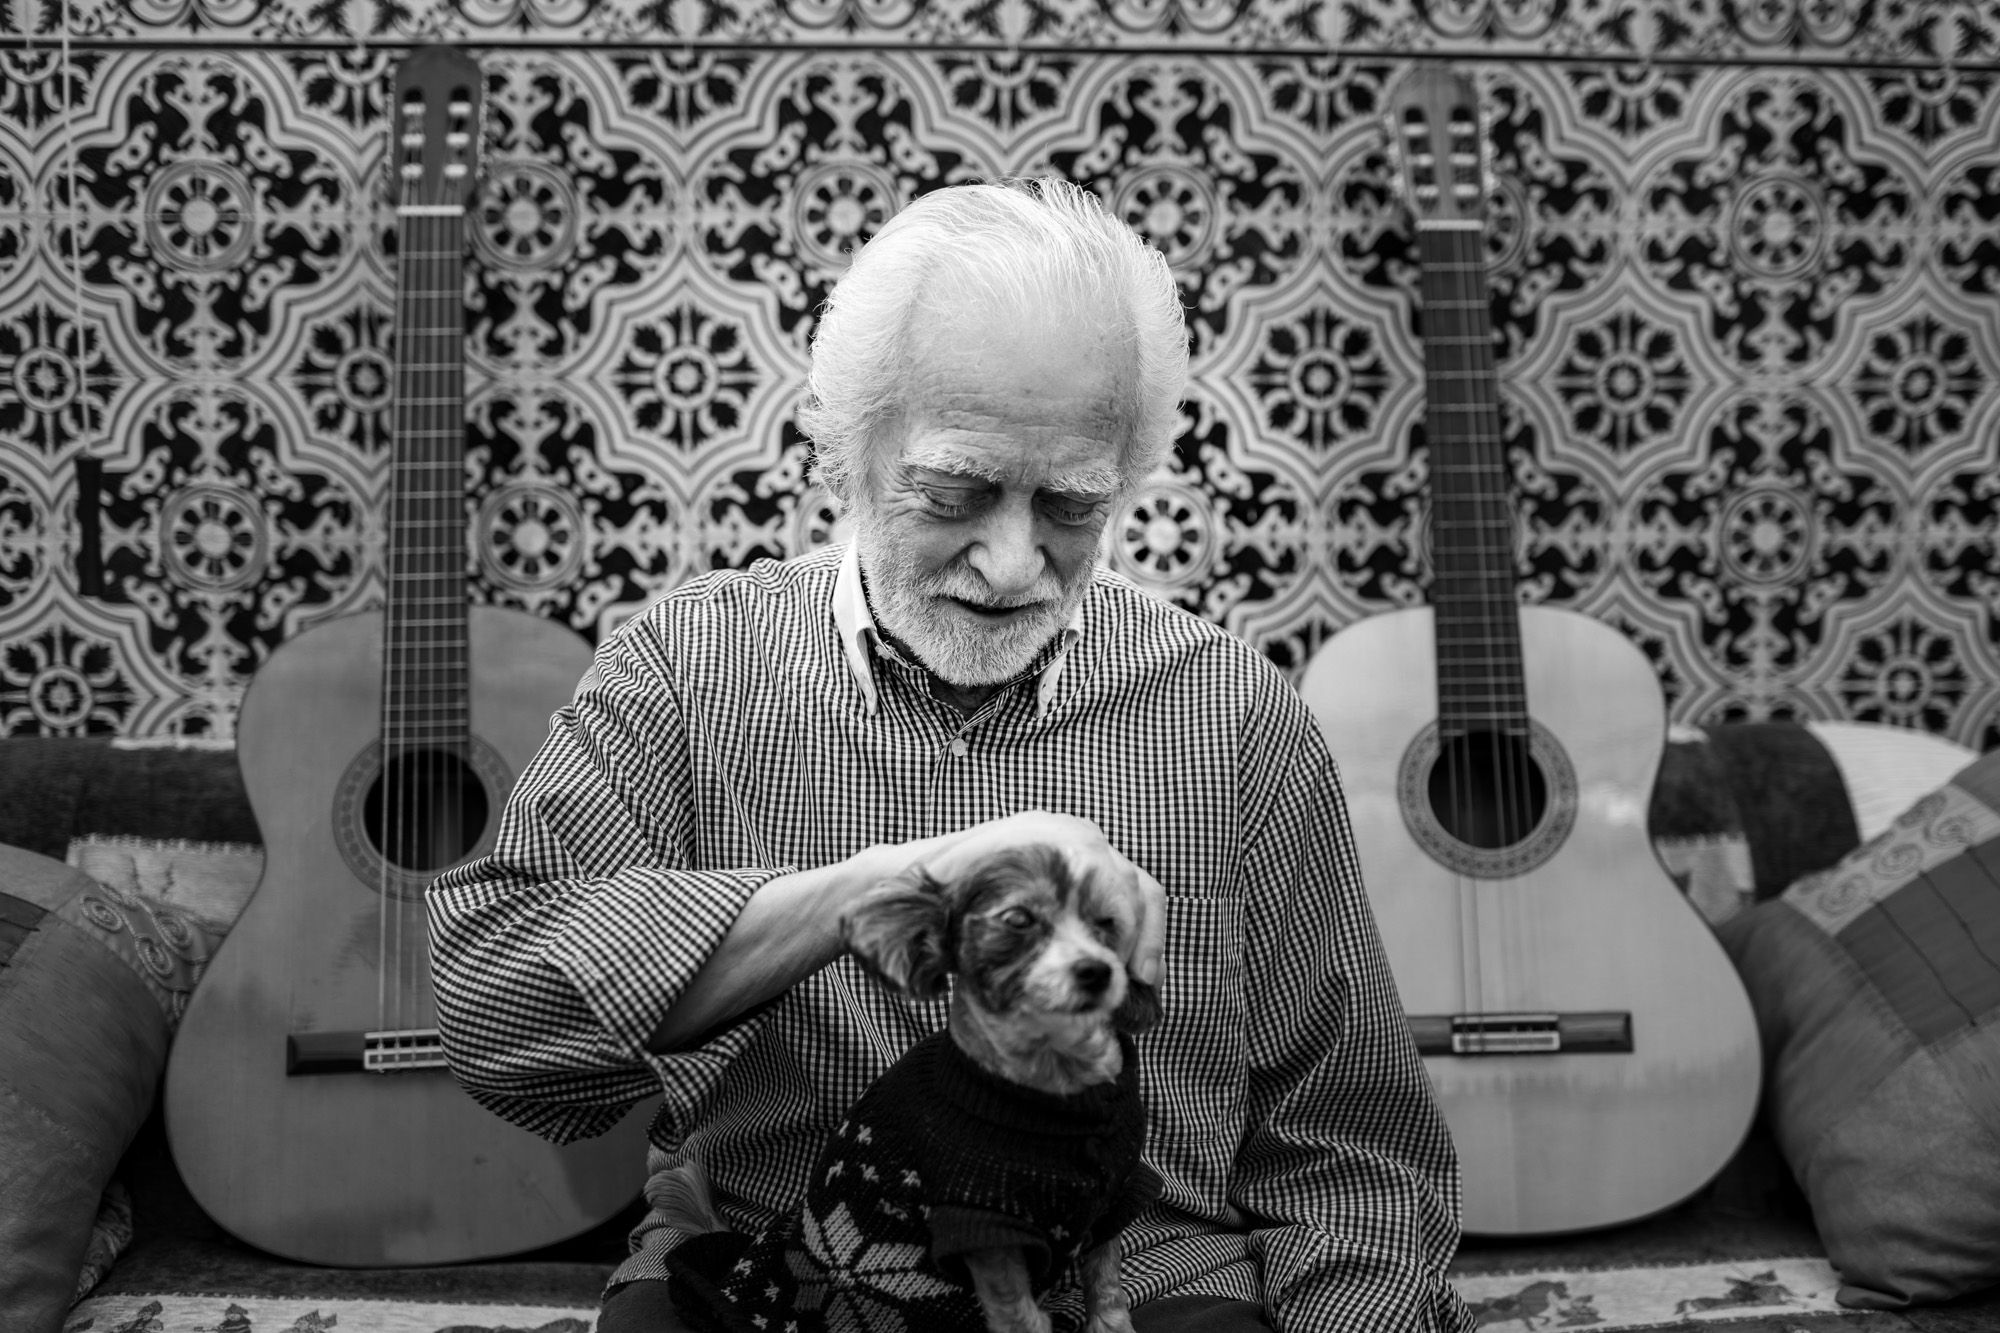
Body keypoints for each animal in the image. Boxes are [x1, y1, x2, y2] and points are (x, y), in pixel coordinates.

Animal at [668, 844, 1160, 1320]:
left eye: (1108, 923)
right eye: (1019, 919)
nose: (1096, 971)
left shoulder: (1113, 1202)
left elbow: (1108, 1294)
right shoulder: (984, 1231)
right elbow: (1021, 1317)